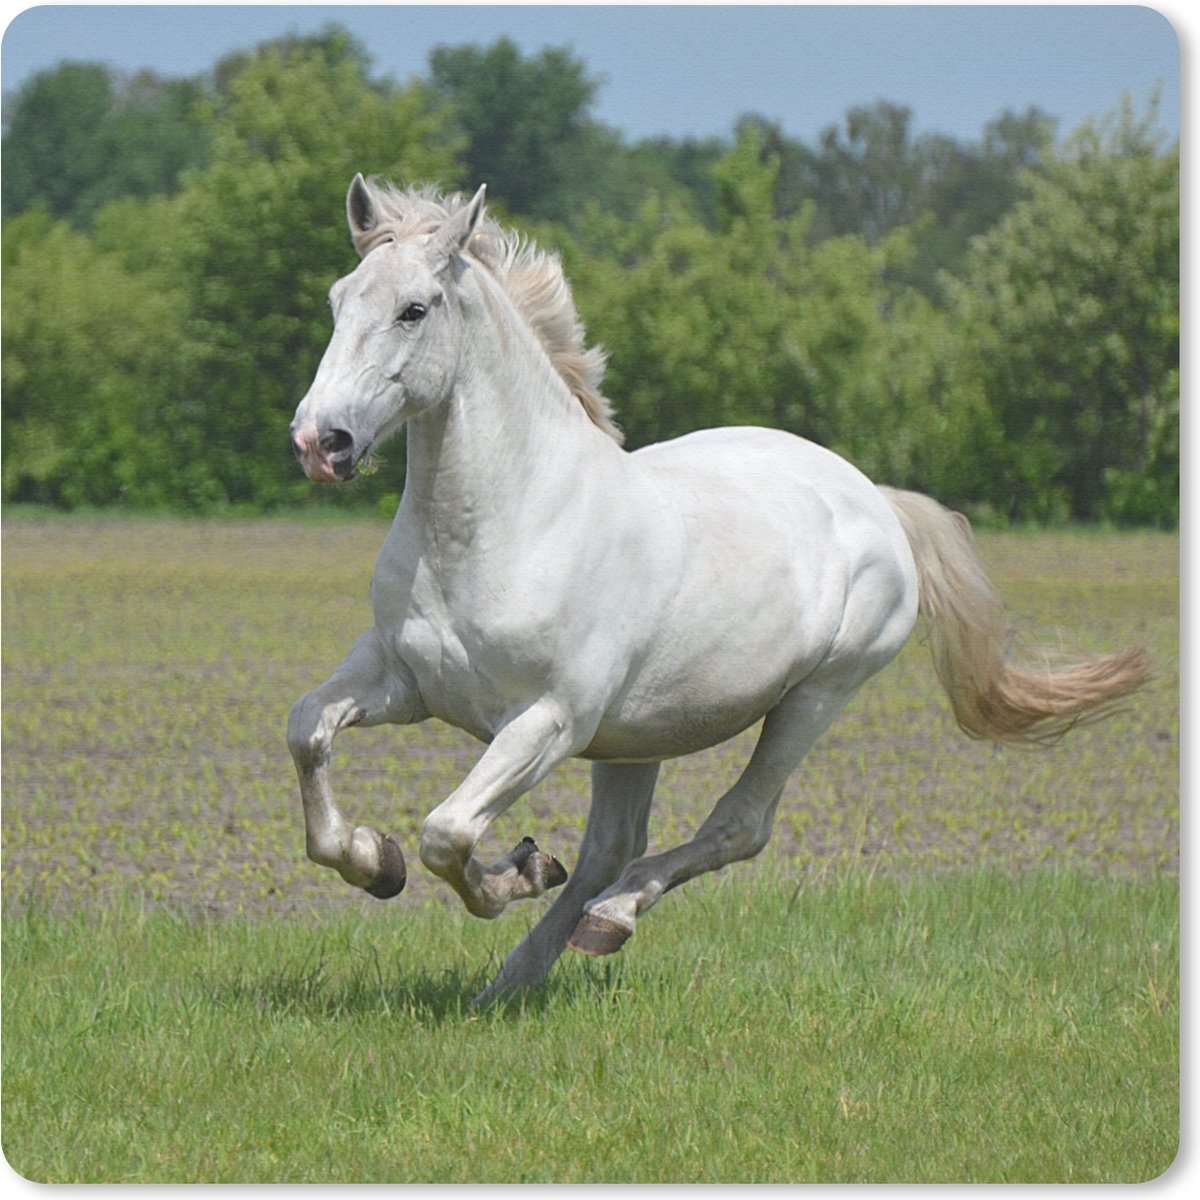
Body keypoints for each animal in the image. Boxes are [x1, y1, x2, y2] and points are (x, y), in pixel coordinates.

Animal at [287, 177, 1149, 1004]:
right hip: (635, 736)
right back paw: (512, 980)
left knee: (736, 827)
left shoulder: (548, 720)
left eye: (414, 308)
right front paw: (376, 861)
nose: (320, 441)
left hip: (814, 697)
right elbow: (309, 733)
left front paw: (511, 871)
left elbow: (448, 832)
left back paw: (607, 920)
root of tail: (875, 497)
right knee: (611, 848)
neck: (504, 524)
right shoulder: (403, 679)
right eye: (337, 299)